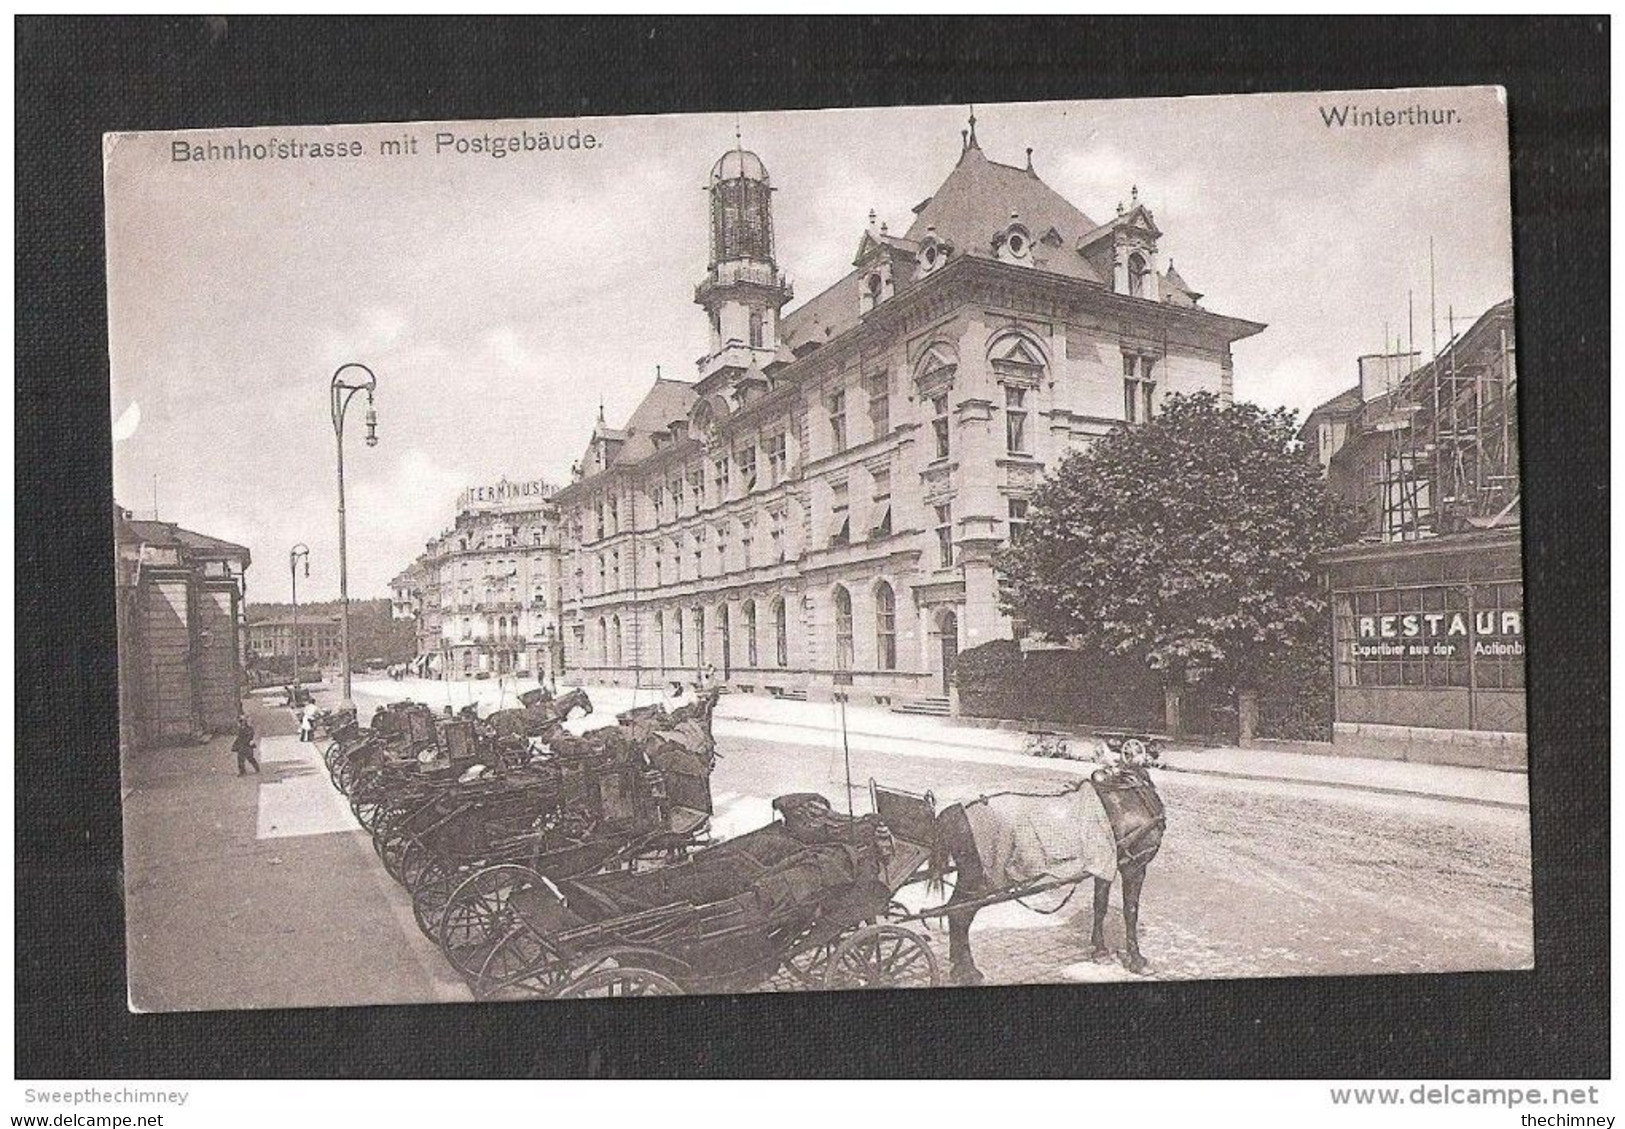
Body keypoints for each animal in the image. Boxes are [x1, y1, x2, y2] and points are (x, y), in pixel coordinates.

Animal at [929, 763, 1170, 987]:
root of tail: (953, 811)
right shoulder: (1135, 865)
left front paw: (1100, 950)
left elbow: (1100, 906)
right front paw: (1136, 958)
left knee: (955, 911)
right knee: (959, 914)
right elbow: (1131, 911)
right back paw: (966, 971)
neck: (1130, 800)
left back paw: (958, 965)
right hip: (977, 880)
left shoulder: (1105, 864)